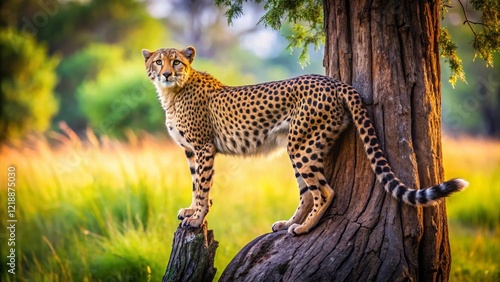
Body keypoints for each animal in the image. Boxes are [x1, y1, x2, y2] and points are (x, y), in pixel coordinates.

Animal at [142, 46, 468, 236]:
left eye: (177, 62)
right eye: (158, 61)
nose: (167, 73)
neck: (172, 92)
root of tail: (333, 81)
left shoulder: (204, 147)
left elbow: (202, 186)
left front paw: (197, 219)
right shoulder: (191, 151)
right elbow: (195, 183)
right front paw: (192, 211)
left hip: (301, 145)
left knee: (324, 191)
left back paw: (303, 228)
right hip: (300, 144)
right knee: (308, 193)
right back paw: (289, 223)